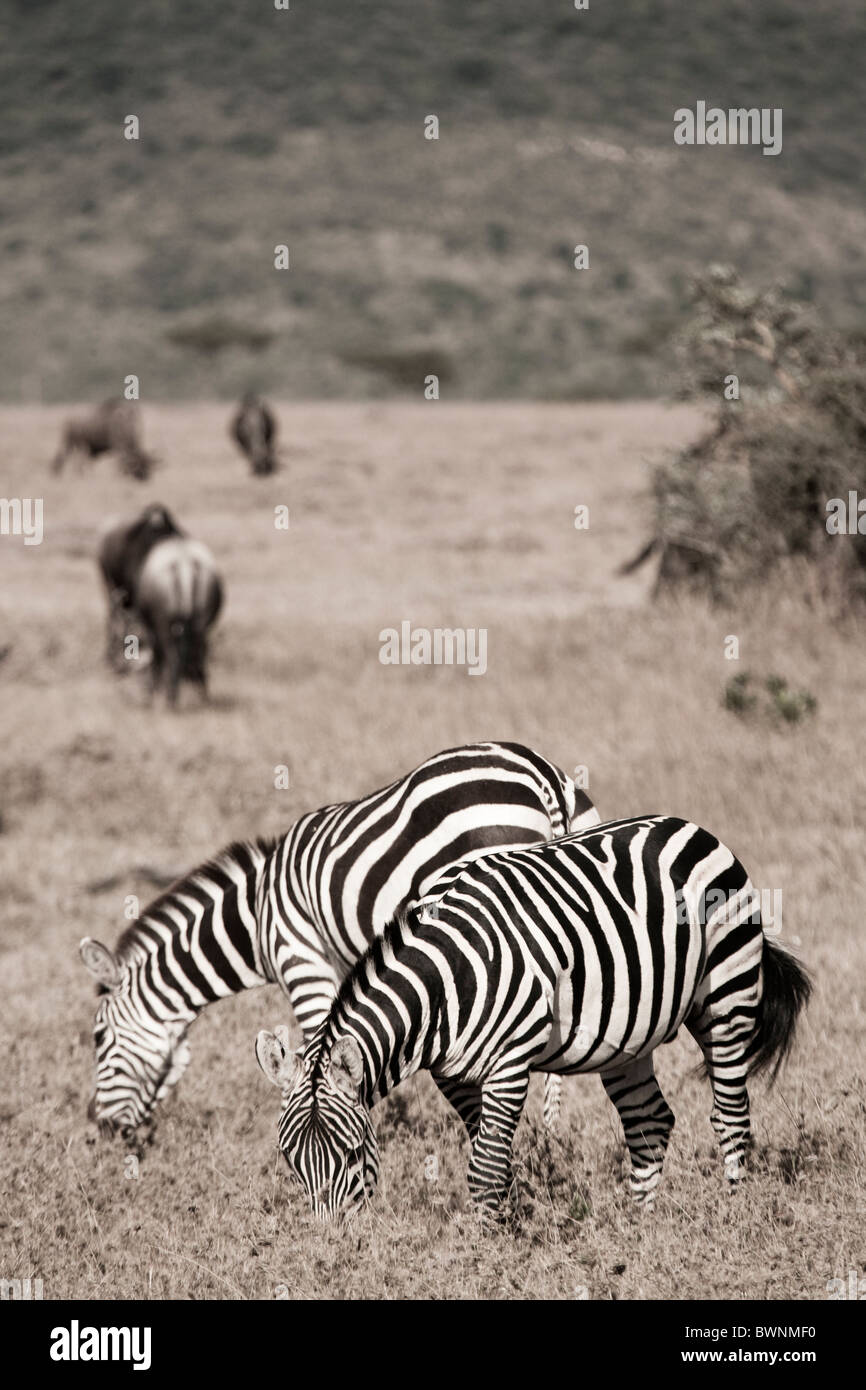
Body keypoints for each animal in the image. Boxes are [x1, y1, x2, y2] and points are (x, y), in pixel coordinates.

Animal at [80, 742, 599, 1142]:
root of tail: (540, 774)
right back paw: (552, 1132)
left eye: (99, 1038)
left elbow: (317, 1044)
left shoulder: (302, 961)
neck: (258, 915)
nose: (100, 1129)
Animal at [255, 814, 811, 1221]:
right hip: (630, 1035)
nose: (336, 1246)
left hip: (727, 997)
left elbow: (485, 1165)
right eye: (290, 1161)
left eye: (352, 1154)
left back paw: (734, 1215)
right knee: (650, 1122)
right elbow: (488, 1154)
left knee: (731, 1116)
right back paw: (640, 1227)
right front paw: (504, 1219)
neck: (445, 980)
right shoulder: (452, 1074)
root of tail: (693, 827)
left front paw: (485, 1251)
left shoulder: (509, 1060)